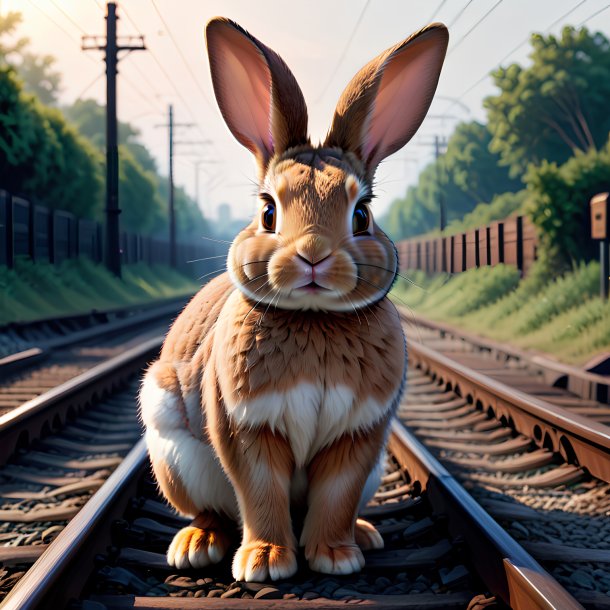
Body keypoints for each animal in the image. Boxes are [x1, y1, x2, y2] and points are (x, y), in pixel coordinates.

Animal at [140, 16, 448, 580]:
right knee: (213, 510)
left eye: (362, 214)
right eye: (267, 211)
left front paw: (335, 557)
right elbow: (260, 492)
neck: (314, 317)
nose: (313, 255)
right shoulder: (244, 425)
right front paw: (264, 563)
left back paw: (364, 535)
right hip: (170, 444)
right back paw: (196, 547)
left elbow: (336, 495)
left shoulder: (359, 436)